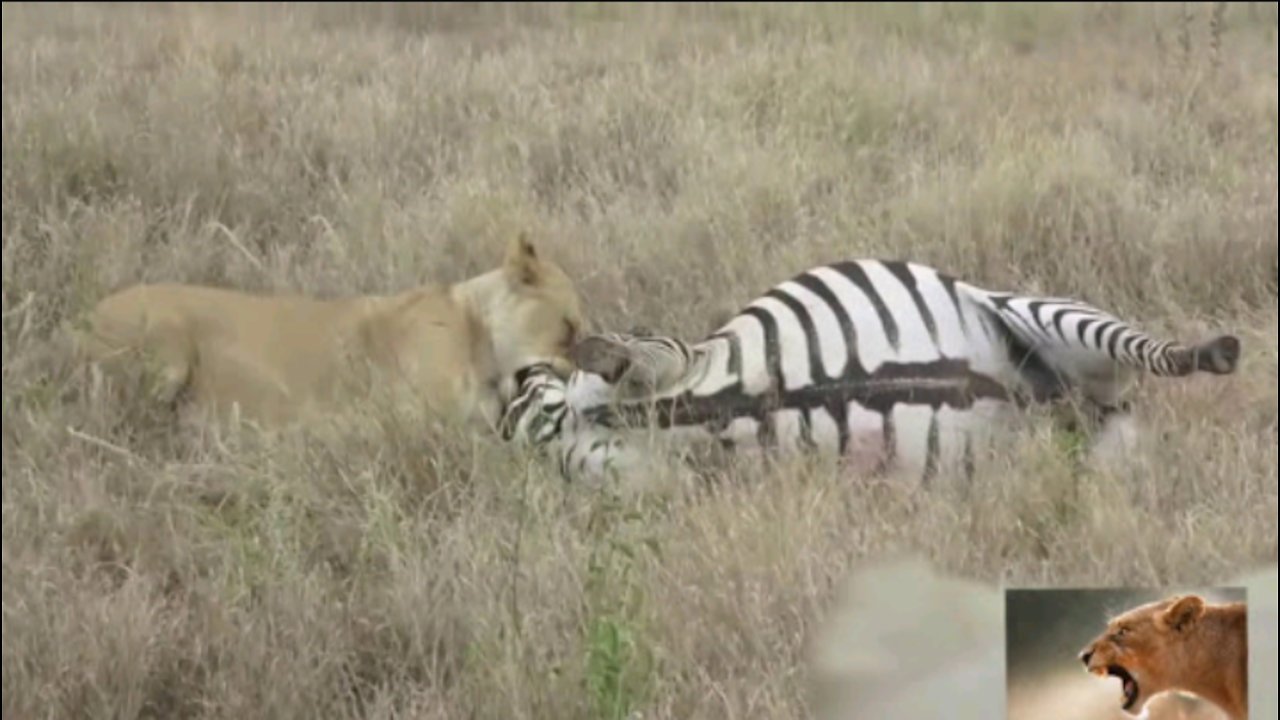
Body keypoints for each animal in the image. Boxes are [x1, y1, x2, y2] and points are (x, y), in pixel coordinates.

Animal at [499, 254, 1239, 484]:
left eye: (530, 391)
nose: (510, 387)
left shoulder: (679, 356)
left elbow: (631, 355)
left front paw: (596, 354)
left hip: (1044, 313)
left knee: (1164, 357)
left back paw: (1215, 350)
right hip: (1078, 447)